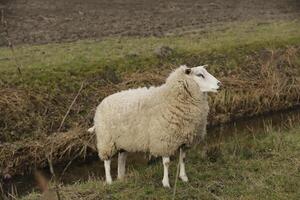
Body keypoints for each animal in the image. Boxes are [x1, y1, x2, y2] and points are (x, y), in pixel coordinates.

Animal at [88, 65, 219, 188]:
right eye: (200, 75)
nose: (219, 84)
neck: (170, 98)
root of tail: (101, 103)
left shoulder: (184, 140)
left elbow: (183, 159)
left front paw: (184, 177)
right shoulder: (164, 140)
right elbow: (166, 163)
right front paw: (166, 183)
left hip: (123, 141)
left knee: (121, 159)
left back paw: (122, 178)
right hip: (106, 140)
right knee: (107, 162)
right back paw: (109, 181)